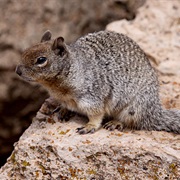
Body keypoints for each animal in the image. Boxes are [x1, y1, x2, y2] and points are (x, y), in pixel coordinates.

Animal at [15, 30, 180, 134]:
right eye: (25, 51)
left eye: (41, 60)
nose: (17, 71)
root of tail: (154, 111)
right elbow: (65, 106)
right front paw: (63, 110)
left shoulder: (92, 97)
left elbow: (96, 114)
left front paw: (90, 126)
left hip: (135, 107)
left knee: (132, 122)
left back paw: (116, 123)